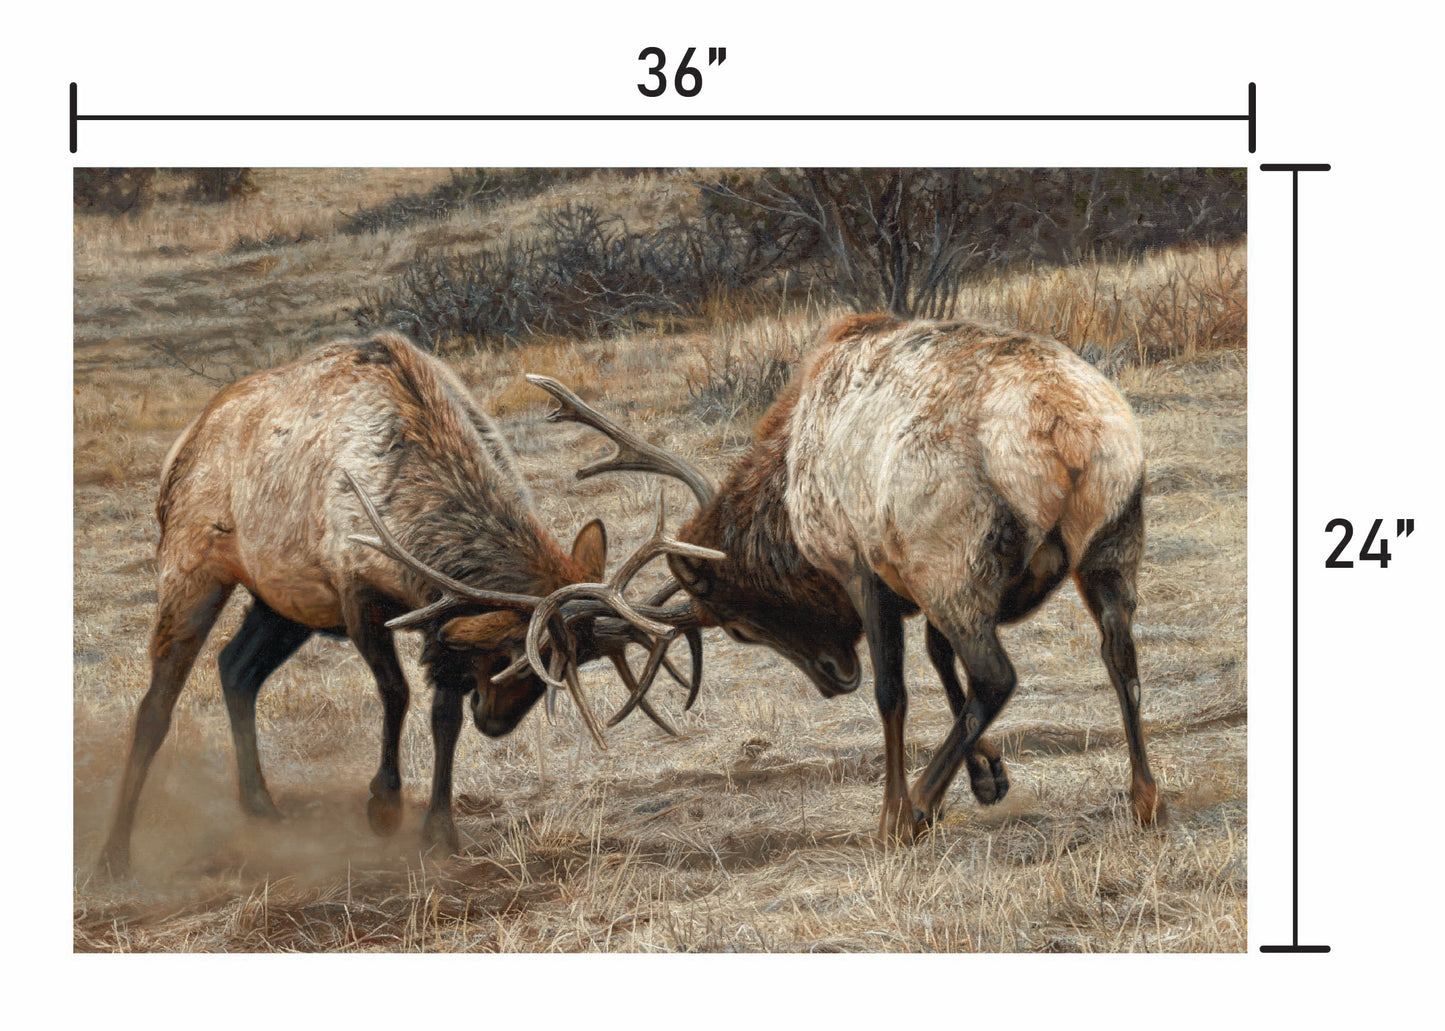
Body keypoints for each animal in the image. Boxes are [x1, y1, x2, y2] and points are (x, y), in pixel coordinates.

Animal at [98, 331, 720, 876]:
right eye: (514, 655)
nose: (497, 722)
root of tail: (183, 444)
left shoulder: (435, 615)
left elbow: (444, 716)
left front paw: (440, 830)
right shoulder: (356, 590)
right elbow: (396, 692)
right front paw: (383, 805)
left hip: (283, 603)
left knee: (235, 668)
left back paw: (262, 809)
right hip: (191, 564)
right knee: (157, 703)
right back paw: (115, 855)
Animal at [528, 313, 1163, 843]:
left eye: (737, 628)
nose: (835, 678)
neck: (788, 499)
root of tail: (1068, 431)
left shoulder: (866, 568)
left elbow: (894, 692)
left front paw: (896, 810)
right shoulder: (910, 578)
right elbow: (939, 661)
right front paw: (988, 777)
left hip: (954, 556)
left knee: (996, 676)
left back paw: (916, 808)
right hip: (1111, 542)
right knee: (1120, 655)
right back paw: (1144, 797)